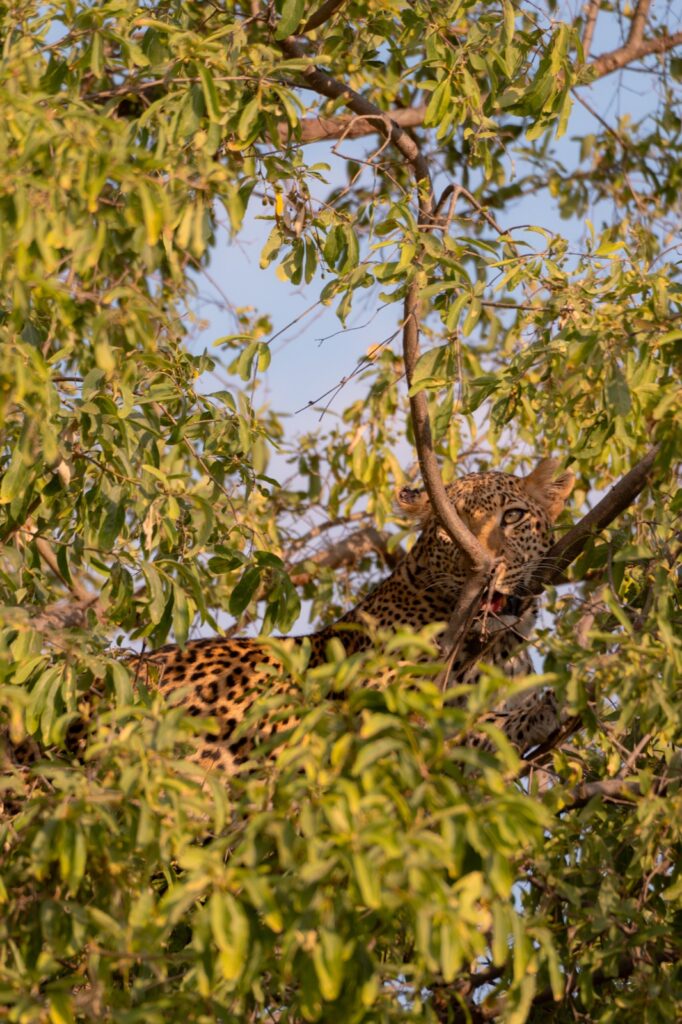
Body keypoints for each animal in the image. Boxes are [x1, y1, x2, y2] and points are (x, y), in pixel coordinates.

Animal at [131, 457, 575, 774]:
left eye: (513, 516)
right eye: (451, 529)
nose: (484, 565)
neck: (502, 647)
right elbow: (468, 726)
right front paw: (542, 710)